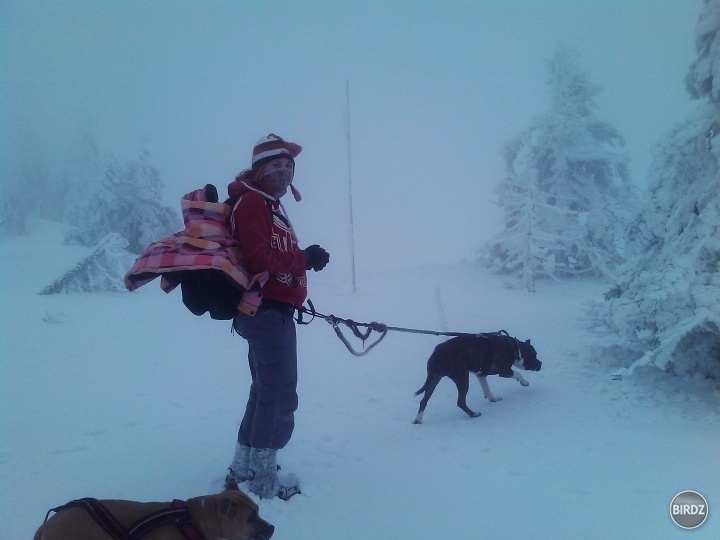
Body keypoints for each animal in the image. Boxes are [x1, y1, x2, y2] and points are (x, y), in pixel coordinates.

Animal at [414, 332, 544, 424]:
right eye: (534, 355)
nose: (540, 364)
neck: (514, 348)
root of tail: (437, 355)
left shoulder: (481, 374)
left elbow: (486, 388)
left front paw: (493, 399)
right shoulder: (504, 371)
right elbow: (518, 374)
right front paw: (524, 382)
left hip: (434, 379)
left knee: (423, 401)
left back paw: (418, 420)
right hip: (462, 378)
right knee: (460, 401)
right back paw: (473, 414)